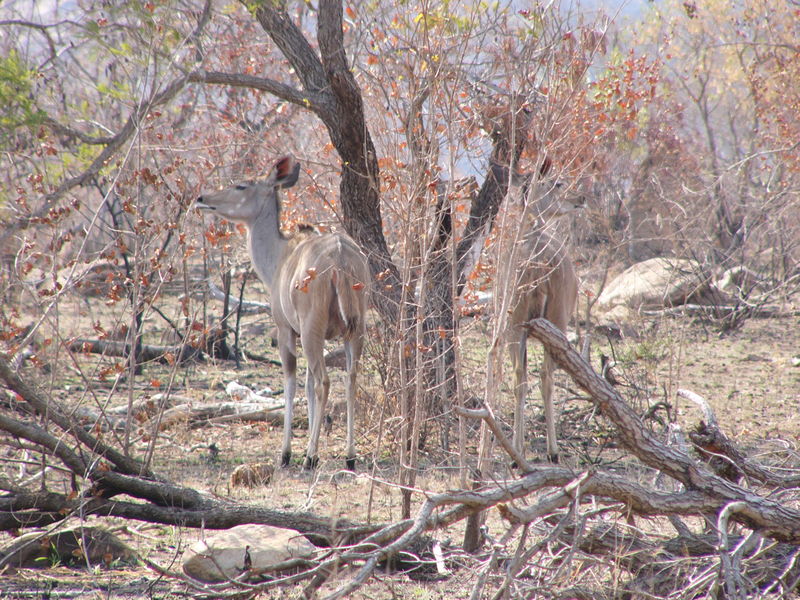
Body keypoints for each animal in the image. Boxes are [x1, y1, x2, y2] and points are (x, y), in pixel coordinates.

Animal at [195, 157, 370, 472]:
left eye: (241, 186)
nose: (202, 199)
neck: (279, 256)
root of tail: (341, 260)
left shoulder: (287, 331)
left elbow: (291, 382)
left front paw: (287, 453)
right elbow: (308, 386)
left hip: (312, 329)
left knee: (323, 382)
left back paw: (309, 457)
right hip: (354, 330)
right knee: (350, 379)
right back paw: (349, 457)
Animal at [506, 166, 580, 462]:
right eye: (558, 182)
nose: (579, 199)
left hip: (516, 326)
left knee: (520, 377)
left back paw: (517, 453)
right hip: (556, 323)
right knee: (546, 377)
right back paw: (553, 451)